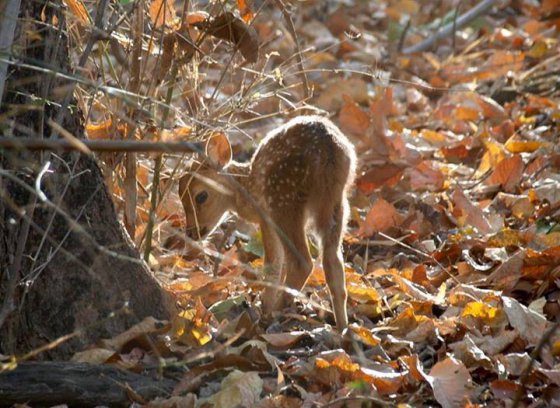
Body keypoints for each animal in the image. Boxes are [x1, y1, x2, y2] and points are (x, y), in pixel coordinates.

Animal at [177, 115, 356, 332]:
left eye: (201, 196)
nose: (191, 232)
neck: (246, 189)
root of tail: (329, 151)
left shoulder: (265, 218)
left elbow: (273, 264)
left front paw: (266, 306)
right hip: (336, 204)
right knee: (333, 262)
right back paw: (343, 328)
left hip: (282, 198)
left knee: (302, 261)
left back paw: (273, 313)